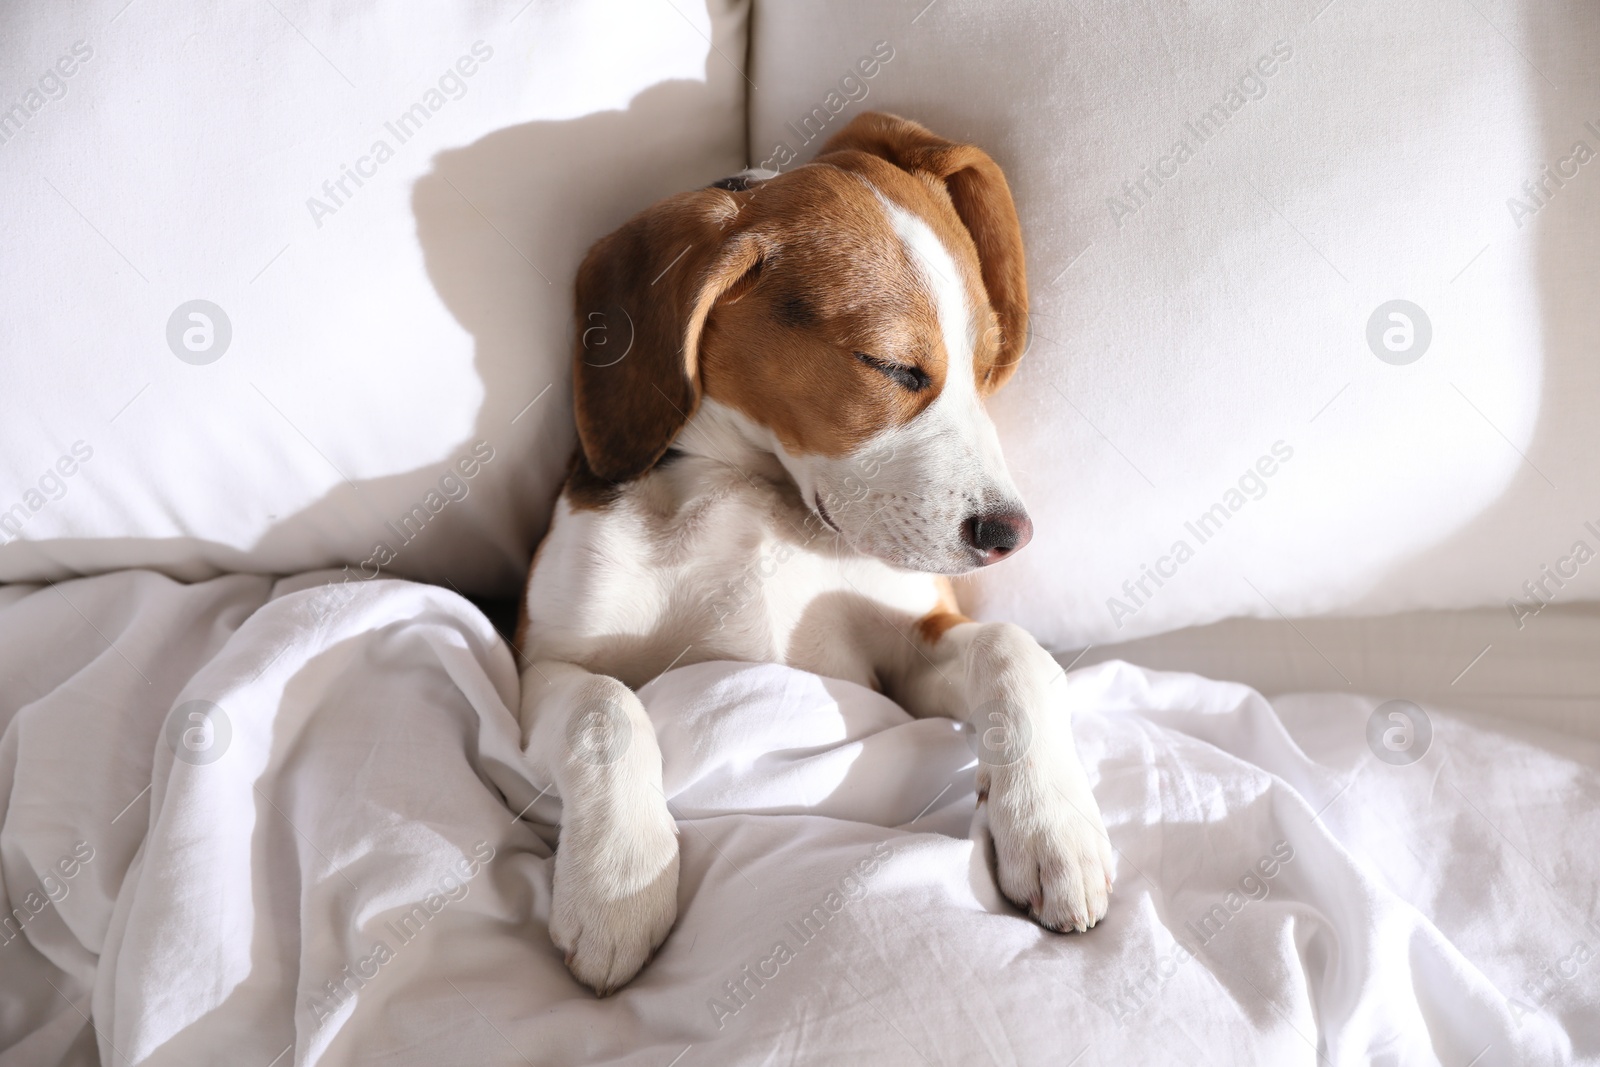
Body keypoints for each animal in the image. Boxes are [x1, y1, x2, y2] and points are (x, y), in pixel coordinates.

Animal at [515, 112, 1113, 998]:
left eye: (986, 365)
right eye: (893, 366)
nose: (1011, 534)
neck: (757, 489)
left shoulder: (906, 657)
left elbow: (1014, 649)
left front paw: (1054, 824)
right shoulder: (538, 663)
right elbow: (605, 705)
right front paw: (618, 882)